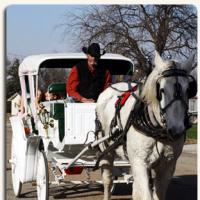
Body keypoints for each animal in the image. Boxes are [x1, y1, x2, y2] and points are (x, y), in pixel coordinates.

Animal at [96, 51, 196, 200]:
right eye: (161, 90)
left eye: (189, 89)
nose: (176, 130)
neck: (157, 130)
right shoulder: (139, 162)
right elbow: (145, 195)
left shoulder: (168, 166)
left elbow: (157, 194)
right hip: (106, 150)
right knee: (108, 180)